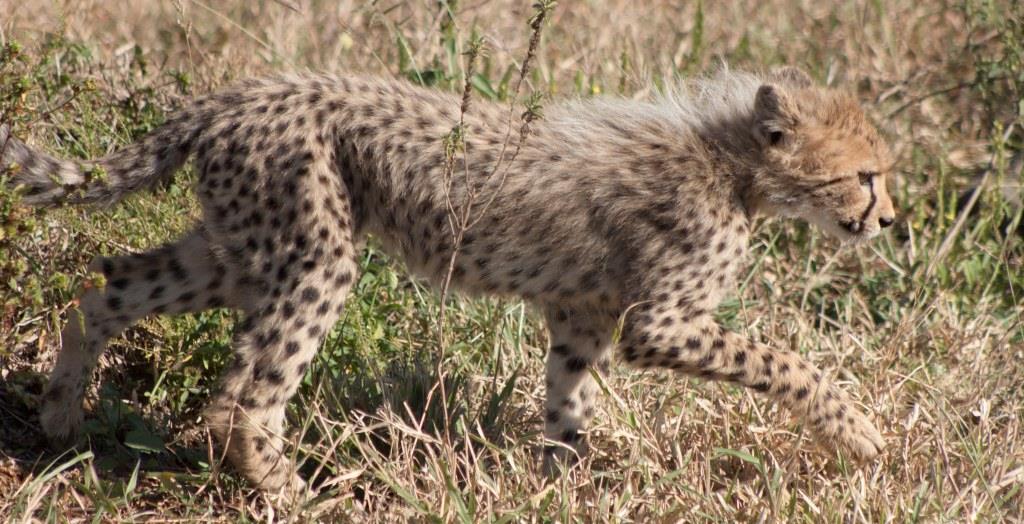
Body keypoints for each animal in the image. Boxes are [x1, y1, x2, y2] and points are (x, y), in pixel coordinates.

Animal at [0, 66, 895, 493]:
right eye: (867, 176)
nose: (889, 221)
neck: (735, 164)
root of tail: (231, 97)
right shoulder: (659, 323)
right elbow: (789, 363)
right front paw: (858, 432)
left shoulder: (580, 315)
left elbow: (568, 407)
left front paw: (561, 486)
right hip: (315, 256)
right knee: (241, 399)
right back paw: (292, 494)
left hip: (237, 250)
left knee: (105, 288)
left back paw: (61, 418)